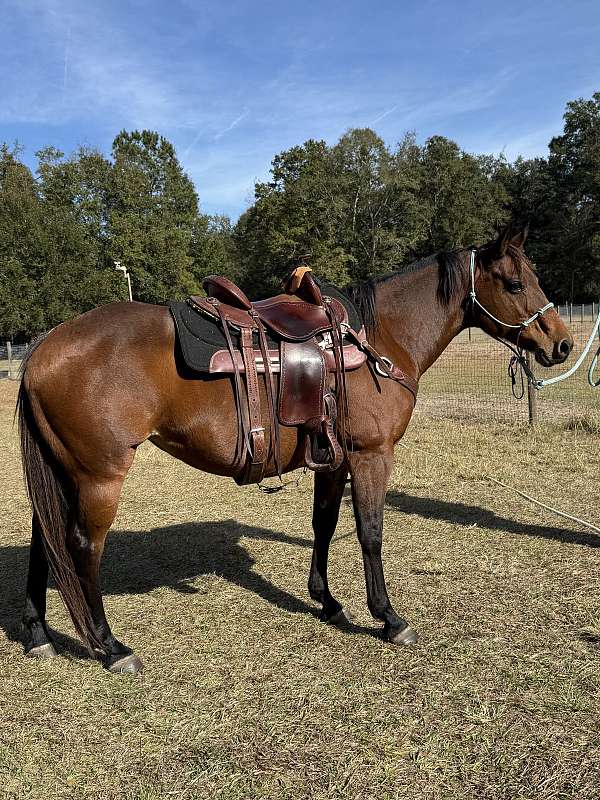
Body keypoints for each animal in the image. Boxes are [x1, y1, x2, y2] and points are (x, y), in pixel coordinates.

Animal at [16, 224, 573, 673]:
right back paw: (111, 646)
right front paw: (388, 617)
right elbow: (370, 533)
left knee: (45, 542)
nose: (563, 344)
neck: (379, 339)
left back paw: (39, 634)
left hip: (65, 472)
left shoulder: (334, 458)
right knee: (82, 548)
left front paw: (326, 602)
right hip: (98, 477)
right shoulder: (371, 455)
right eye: (516, 284)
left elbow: (323, 525)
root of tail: (43, 346)